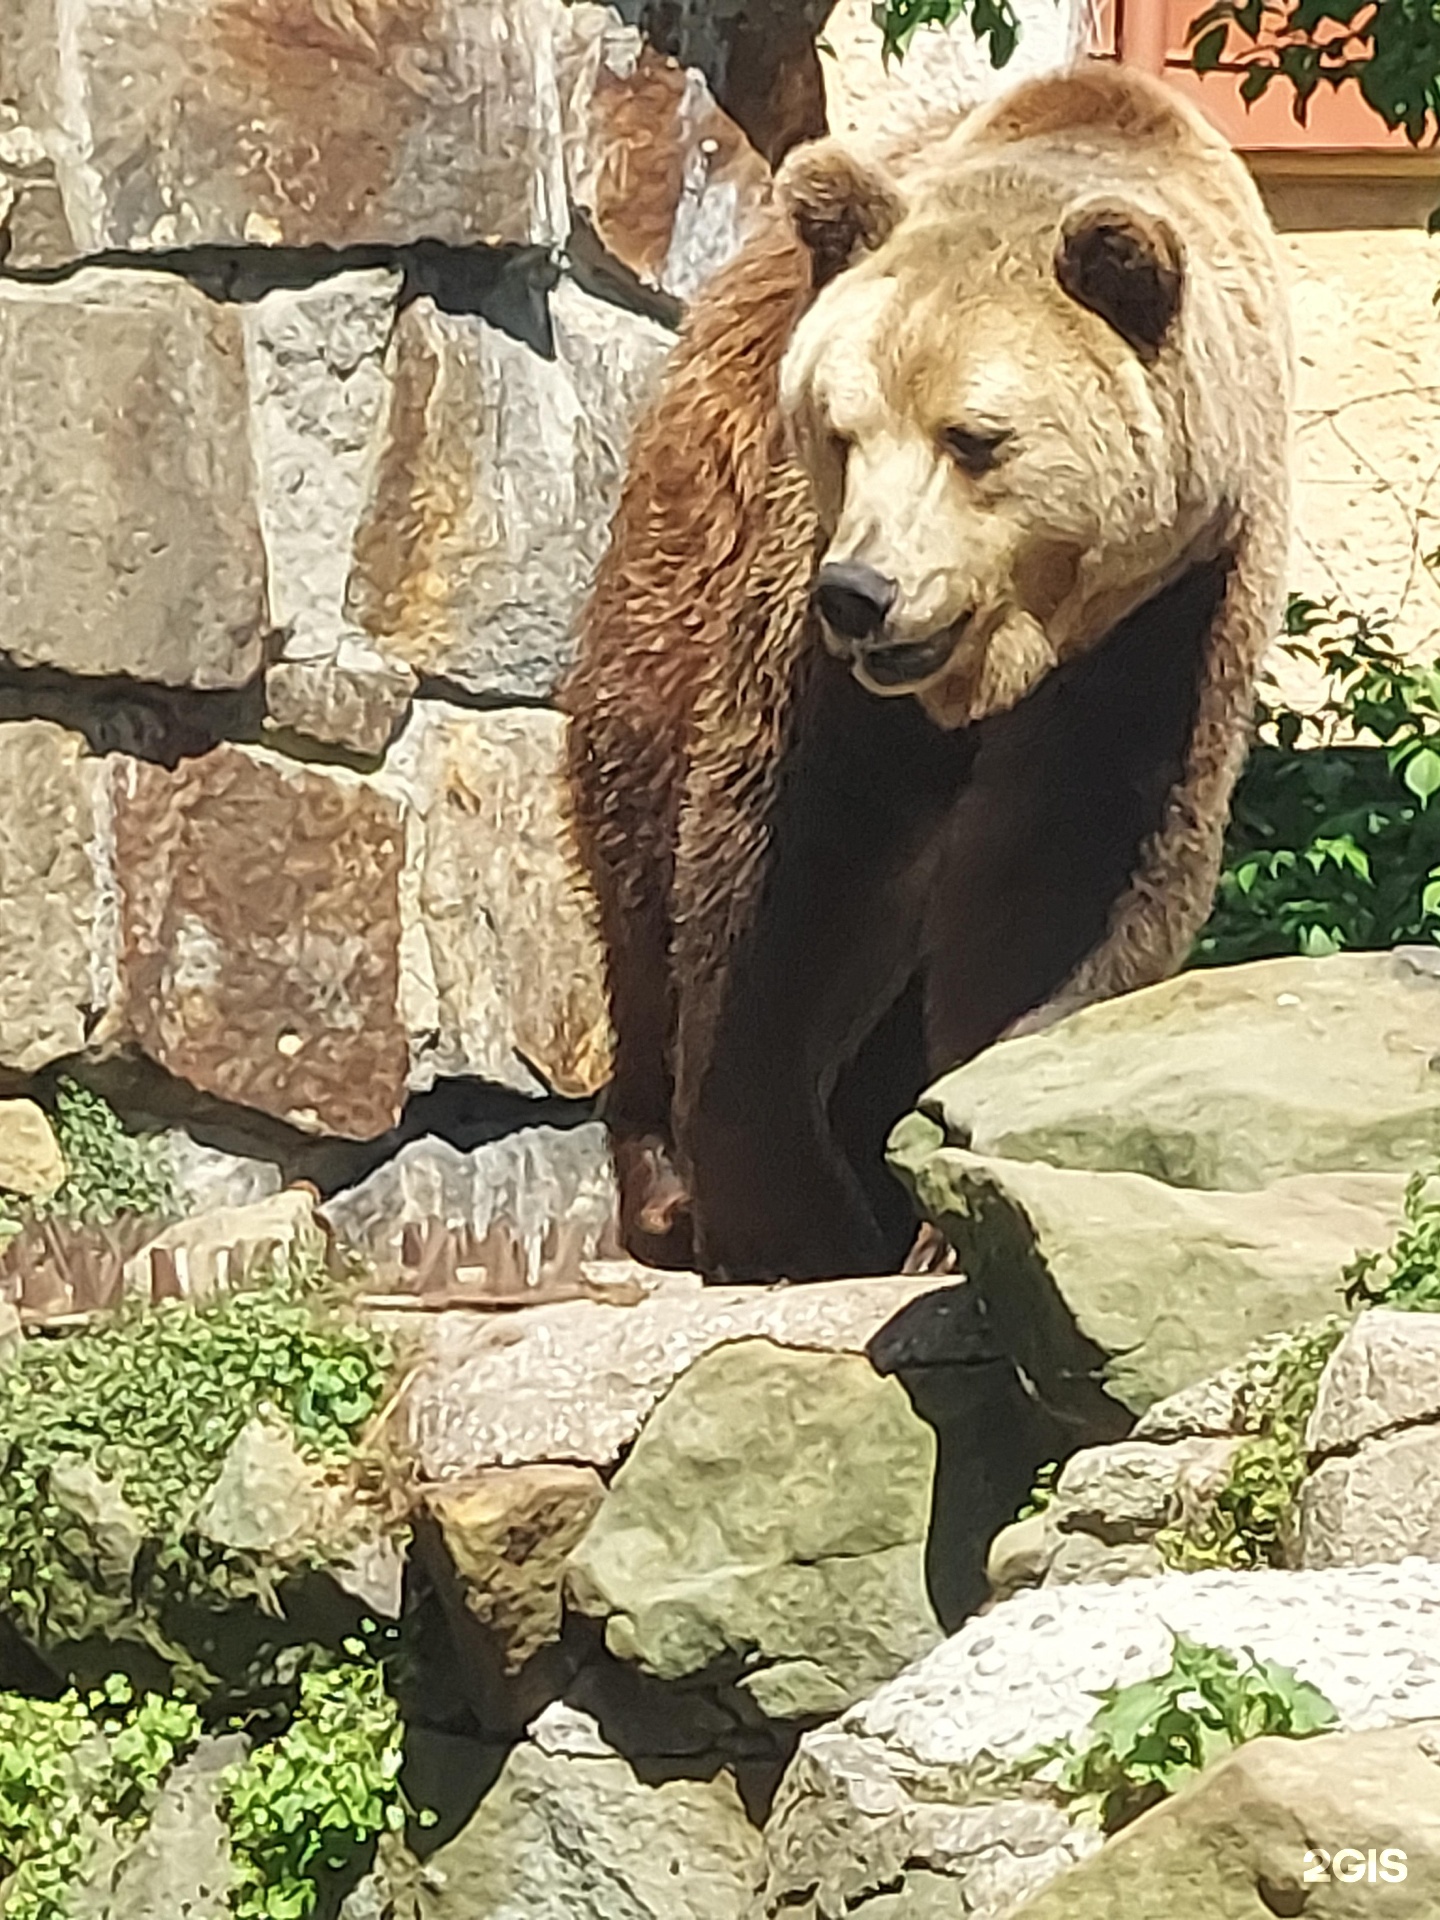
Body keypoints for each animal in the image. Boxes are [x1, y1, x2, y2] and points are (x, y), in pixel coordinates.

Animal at [560, 67, 1297, 1282]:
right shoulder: (815, 653)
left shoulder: (1167, 627)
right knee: (637, 845)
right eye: (837, 427)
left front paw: (955, 1203)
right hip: (677, 558)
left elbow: (1064, 894)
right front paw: (795, 1222)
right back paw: (664, 1187)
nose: (863, 591)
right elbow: (794, 882)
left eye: (974, 437)